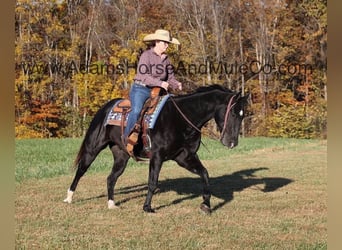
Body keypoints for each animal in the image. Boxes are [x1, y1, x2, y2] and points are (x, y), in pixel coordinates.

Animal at [63, 85, 248, 214]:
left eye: (242, 115)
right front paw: (147, 207)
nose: (232, 142)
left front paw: (206, 205)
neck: (181, 118)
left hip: (121, 156)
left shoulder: (185, 157)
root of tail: (106, 107)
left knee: (111, 178)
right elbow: (152, 182)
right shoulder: (157, 157)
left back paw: (112, 204)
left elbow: (205, 174)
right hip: (93, 148)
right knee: (81, 170)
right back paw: (69, 198)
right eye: (233, 113)